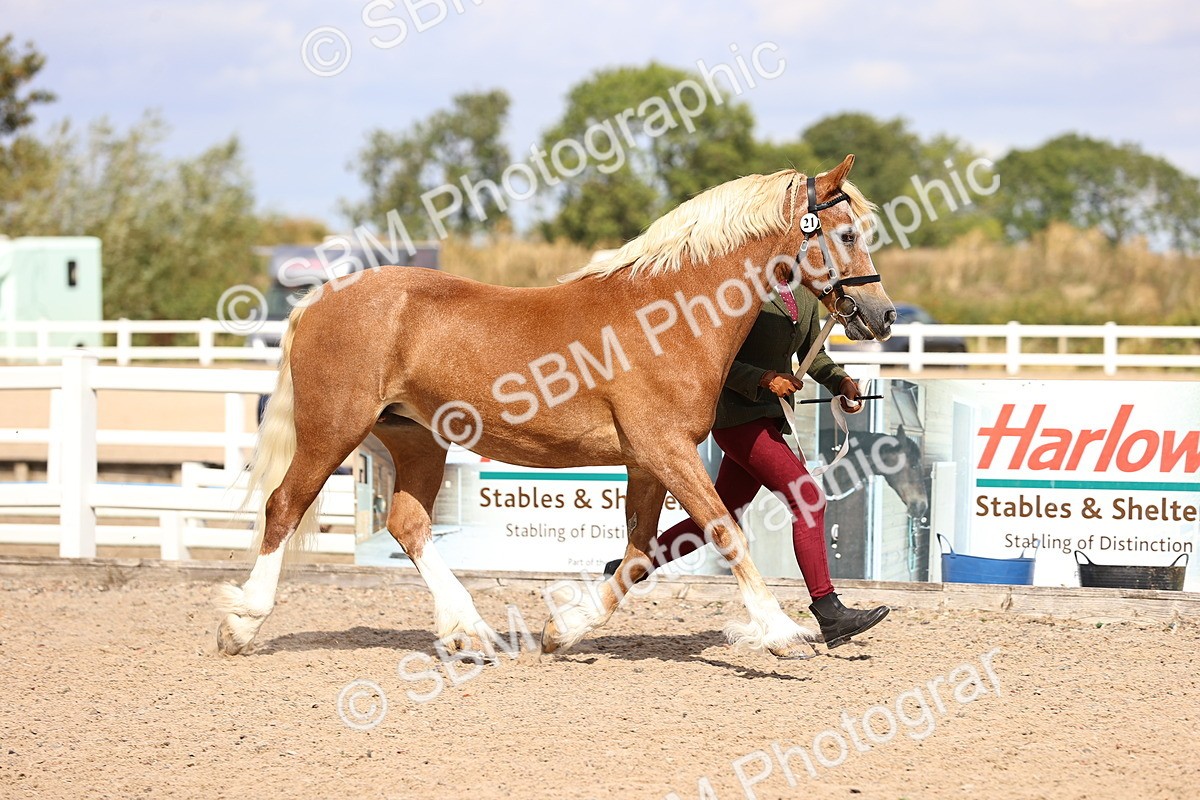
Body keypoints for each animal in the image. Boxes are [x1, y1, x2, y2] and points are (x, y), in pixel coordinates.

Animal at [214, 154, 896, 660]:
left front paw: (563, 629)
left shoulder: (647, 460)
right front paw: (783, 632)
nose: (882, 315)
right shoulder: (664, 448)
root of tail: (318, 299)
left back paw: (470, 633)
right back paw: (242, 623)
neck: (671, 315)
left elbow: (641, 554)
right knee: (284, 506)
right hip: (334, 430)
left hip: (416, 437)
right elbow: (725, 531)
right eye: (847, 234)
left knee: (408, 525)